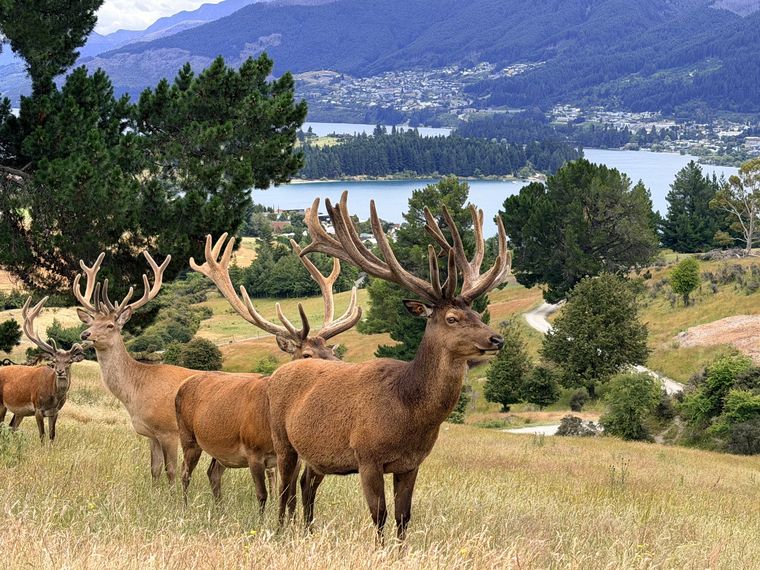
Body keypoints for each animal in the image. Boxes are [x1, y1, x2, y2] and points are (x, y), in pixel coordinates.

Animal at [0, 297, 89, 442]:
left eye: (69, 362)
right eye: (54, 361)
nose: (60, 371)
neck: (53, 398)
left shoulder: (55, 412)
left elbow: (52, 436)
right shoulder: (38, 408)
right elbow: (42, 435)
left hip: (20, 412)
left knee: (11, 427)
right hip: (1, 403)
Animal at [74, 251, 200, 484]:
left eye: (110, 325)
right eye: (91, 322)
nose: (85, 335)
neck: (138, 391)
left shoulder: (168, 430)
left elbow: (171, 471)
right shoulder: (152, 434)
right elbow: (154, 469)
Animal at [175, 233, 361, 509]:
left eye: (332, 351)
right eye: (307, 355)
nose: (341, 371)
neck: (268, 422)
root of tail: (183, 386)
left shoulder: (291, 458)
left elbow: (290, 497)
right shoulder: (253, 452)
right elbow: (262, 495)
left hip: (220, 451)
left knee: (212, 472)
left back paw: (219, 509)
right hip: (187, 436)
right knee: (184, 473)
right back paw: (184, 506)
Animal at [266, 191, 509, 541]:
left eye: (476, 313)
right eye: (452, 318)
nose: (496, 339)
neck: (408, 414)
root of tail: (279, 372)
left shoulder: (411, 463)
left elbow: (403, 517)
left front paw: (401, 547)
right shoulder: (367, 456)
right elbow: (379, 515)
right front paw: (379, 548)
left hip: (313, 454)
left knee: (302, 487)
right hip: (281, 439)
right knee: (284, 490)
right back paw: (280, 531)